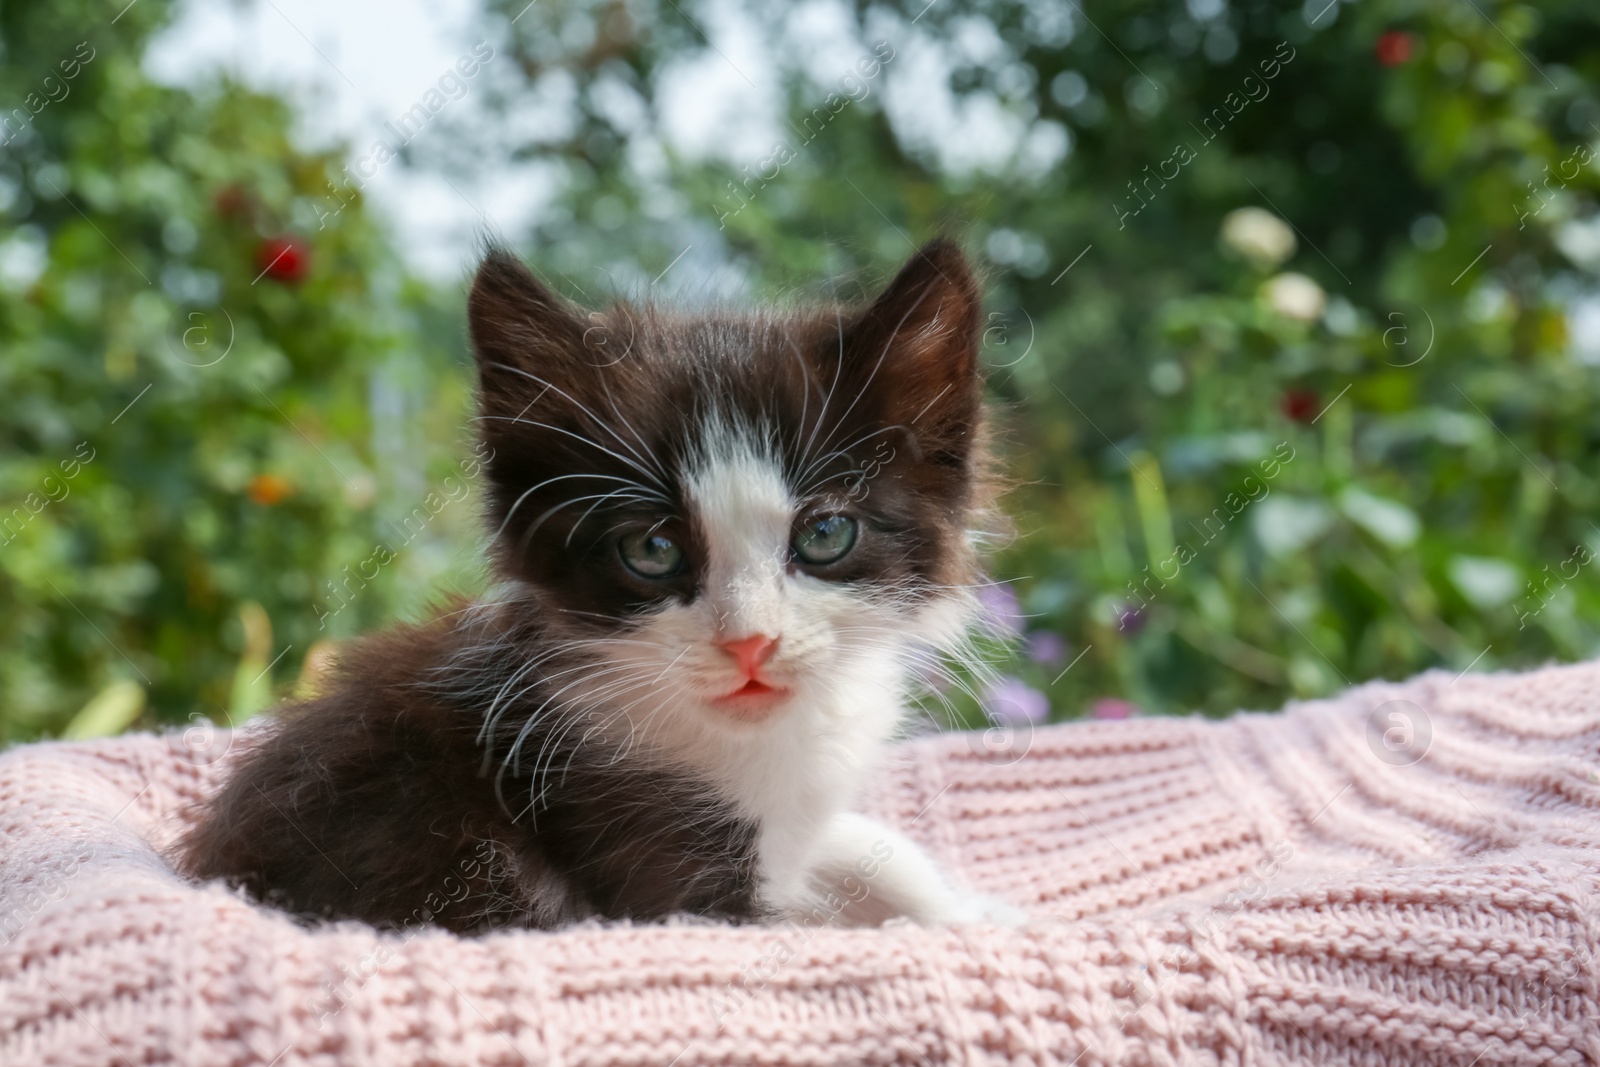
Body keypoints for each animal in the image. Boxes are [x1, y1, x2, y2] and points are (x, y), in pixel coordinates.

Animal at [178, 238, 1011, 927]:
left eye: (825, 535)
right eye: (652, 548)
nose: (750, 643)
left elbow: (860, 841)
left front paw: (977, 914)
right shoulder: (642, 859)